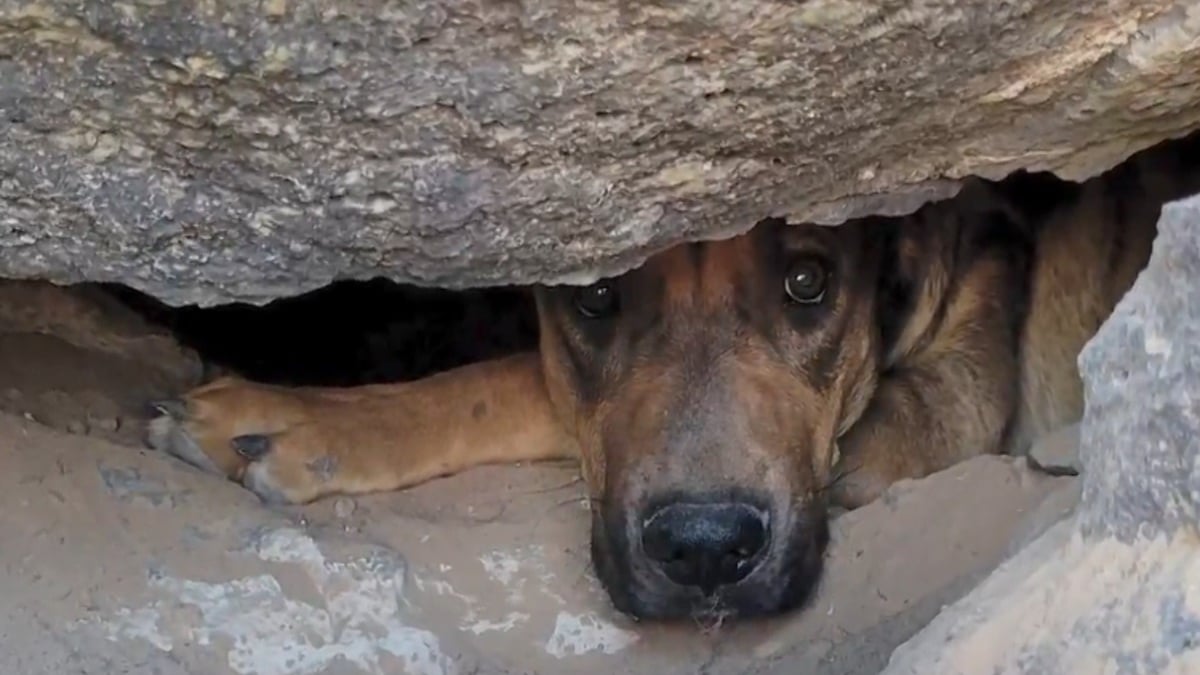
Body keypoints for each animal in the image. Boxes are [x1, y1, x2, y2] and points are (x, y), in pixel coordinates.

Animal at [147, 131, 1200, 619]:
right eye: (597, 294)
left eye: (809, 281)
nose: (704, 550)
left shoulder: (936, 405)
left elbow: (513, 381)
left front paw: (303, 416)